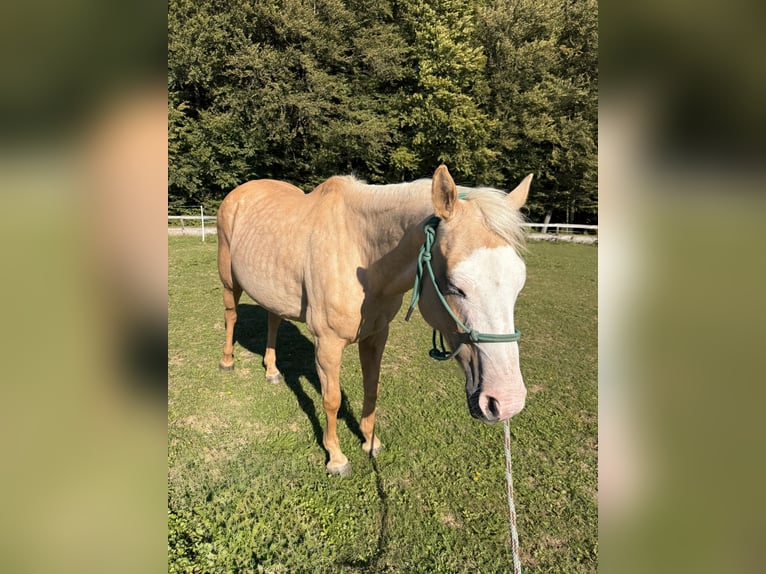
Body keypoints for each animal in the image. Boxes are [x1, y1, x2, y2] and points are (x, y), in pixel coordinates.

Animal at [216, 165, 533, 475]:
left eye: (519, 283)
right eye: (455, 286)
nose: (506, 402)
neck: (360, 250)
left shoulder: (376, 335)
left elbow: (372, 388)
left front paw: (370, 442)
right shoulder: (327, 344)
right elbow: (332, 399)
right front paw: (336, 458)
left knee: (273, 320)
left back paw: (272, 370)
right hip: (229, 282)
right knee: (231, 316)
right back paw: (227, 361)